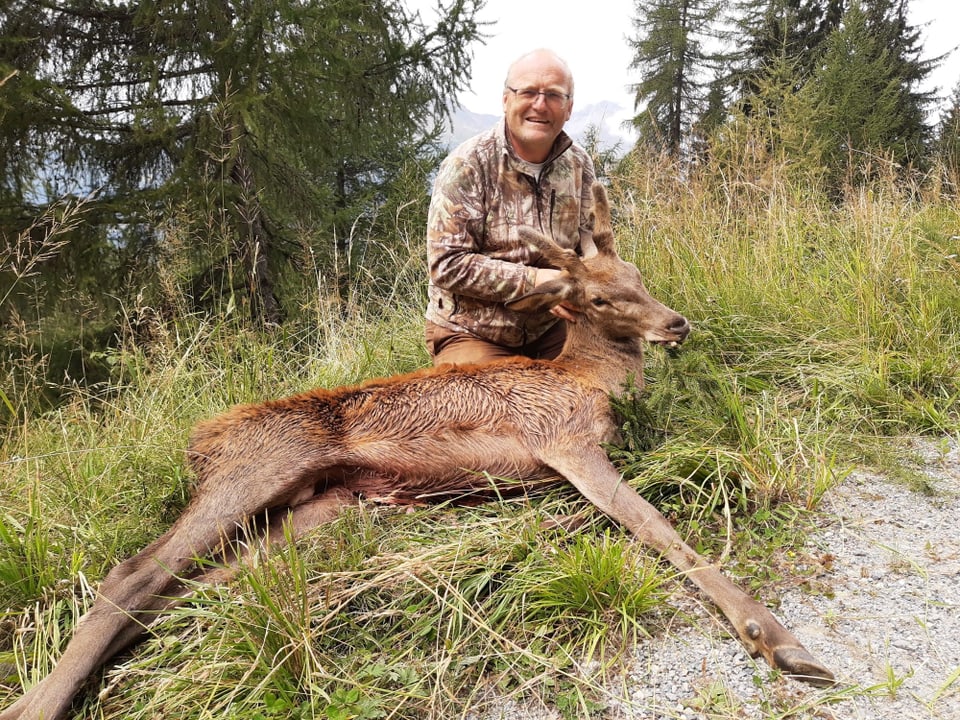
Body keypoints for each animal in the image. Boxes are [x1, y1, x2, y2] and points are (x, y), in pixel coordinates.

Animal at [0, 183, 832, 716]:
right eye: (597, 297)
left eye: (637, 273)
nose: (675, 323)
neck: (593, 380)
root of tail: (198, 443)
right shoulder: (561, 440)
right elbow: (660, 532)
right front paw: (782, 644)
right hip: (256, 468)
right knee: (130, 574)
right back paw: (37, 703)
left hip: (324, 508)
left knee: (184, 590)